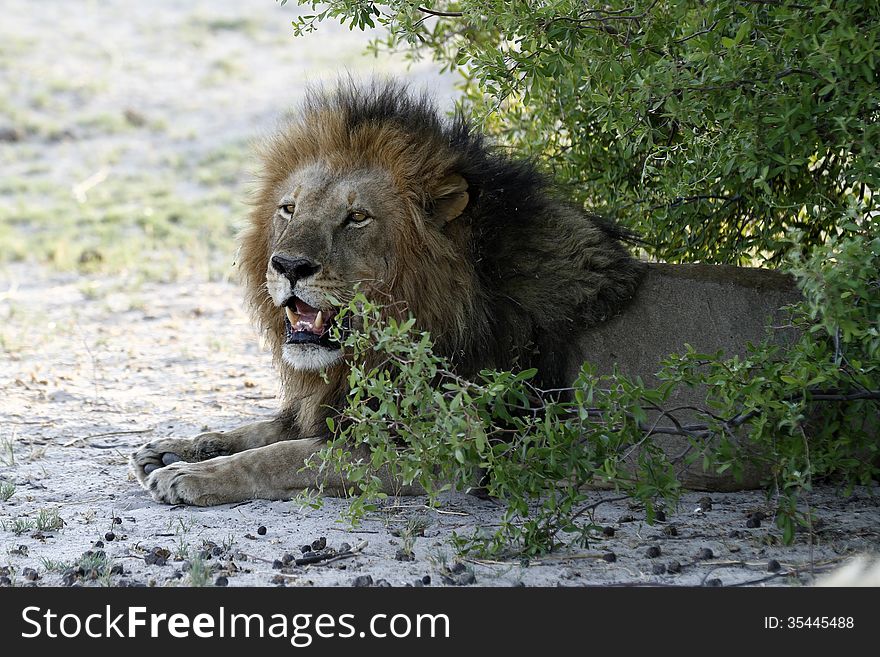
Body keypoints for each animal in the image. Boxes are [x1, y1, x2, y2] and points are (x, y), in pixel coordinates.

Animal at [131, 80, 644, 502]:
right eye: (288, 209)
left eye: (357, 217)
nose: (288, 265)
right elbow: (267, 429)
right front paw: (179, 447)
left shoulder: (442, 452)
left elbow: (290, 455)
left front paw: (190, 475)